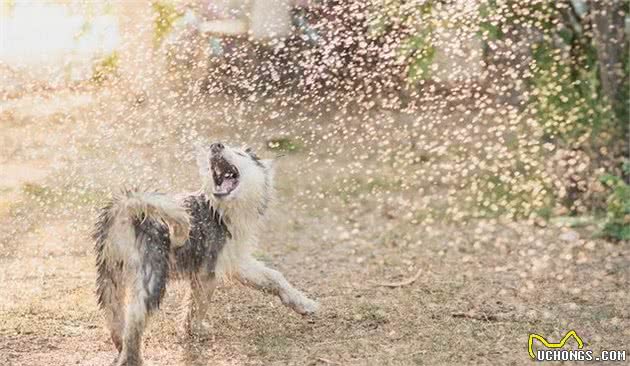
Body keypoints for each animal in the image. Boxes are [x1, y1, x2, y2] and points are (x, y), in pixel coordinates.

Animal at [92, 142, 320, 366]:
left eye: (239, 153)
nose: (216, 145)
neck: (219, 209)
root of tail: (127, 209)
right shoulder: (206, 272)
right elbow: (198, 306)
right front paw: (195, 330)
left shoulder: (235, 260)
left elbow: (274, 277)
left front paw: (303, 303)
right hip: (152, 275)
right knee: (135, 319)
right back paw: (132, 358)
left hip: (110, 275)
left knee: (115, 314)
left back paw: (119, 343)